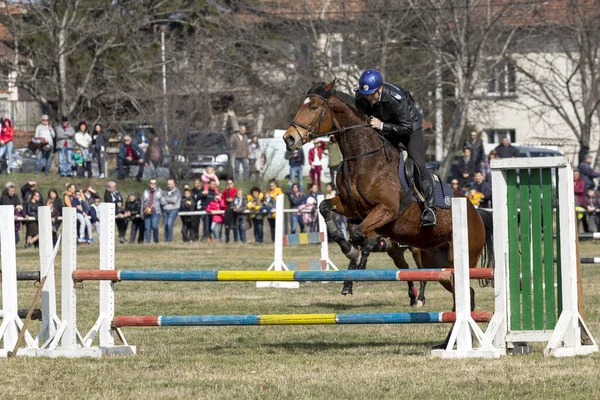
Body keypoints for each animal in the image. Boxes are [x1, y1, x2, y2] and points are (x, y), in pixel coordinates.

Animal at [282, 79, 492, 346]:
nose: (289, 139)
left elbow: (359, 235)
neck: (363, 159)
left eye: (314, 107)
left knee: (465, 295)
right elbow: (325, 208)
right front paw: (347, 248)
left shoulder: (386, 210)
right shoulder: (350, 206)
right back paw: (447, 342)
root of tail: (476, 213)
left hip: (460, 259)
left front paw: (356, 250)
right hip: (436, 263)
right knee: (461, 295)